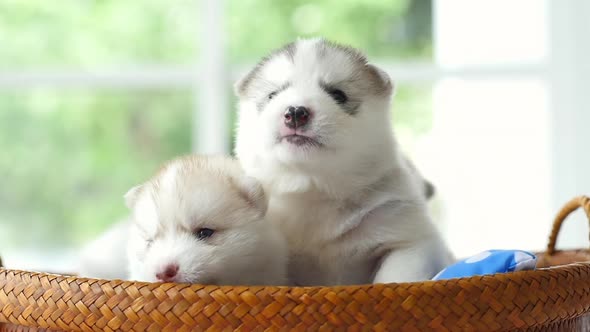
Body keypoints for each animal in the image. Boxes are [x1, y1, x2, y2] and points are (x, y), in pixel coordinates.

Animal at [234, 37, 456, 284]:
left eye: (338, 95)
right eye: (272, 95)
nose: (296, 112)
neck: (313, 189)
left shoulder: (409, 240)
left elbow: (395, 275)